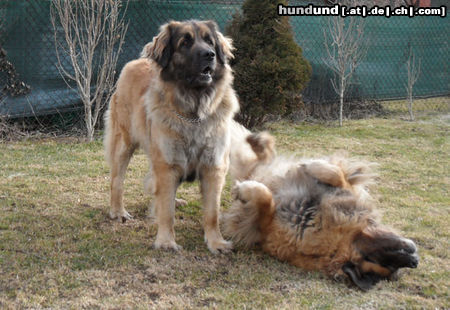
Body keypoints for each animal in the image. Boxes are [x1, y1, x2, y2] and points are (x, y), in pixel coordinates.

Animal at [104, 19, 239, 253]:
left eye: (209, 41)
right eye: (185, 43)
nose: (210, 54)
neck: (193, 112)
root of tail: (133, 63)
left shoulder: (214, 167)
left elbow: (212, 213)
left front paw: (216, 242)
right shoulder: (167, 164)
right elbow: (167, 212)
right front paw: (166, 241)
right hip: (124, 143)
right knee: (117, 180)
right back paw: (118, 211)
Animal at [225, 126, 418, 290]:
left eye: (387, 264)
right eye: (386, 257)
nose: (415, 261)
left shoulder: (265, 228)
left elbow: (265, 200)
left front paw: (244, 190)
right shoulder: (343, 191)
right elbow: (337, 175)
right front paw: (312, 165)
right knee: (266, 157)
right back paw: (259, 141)